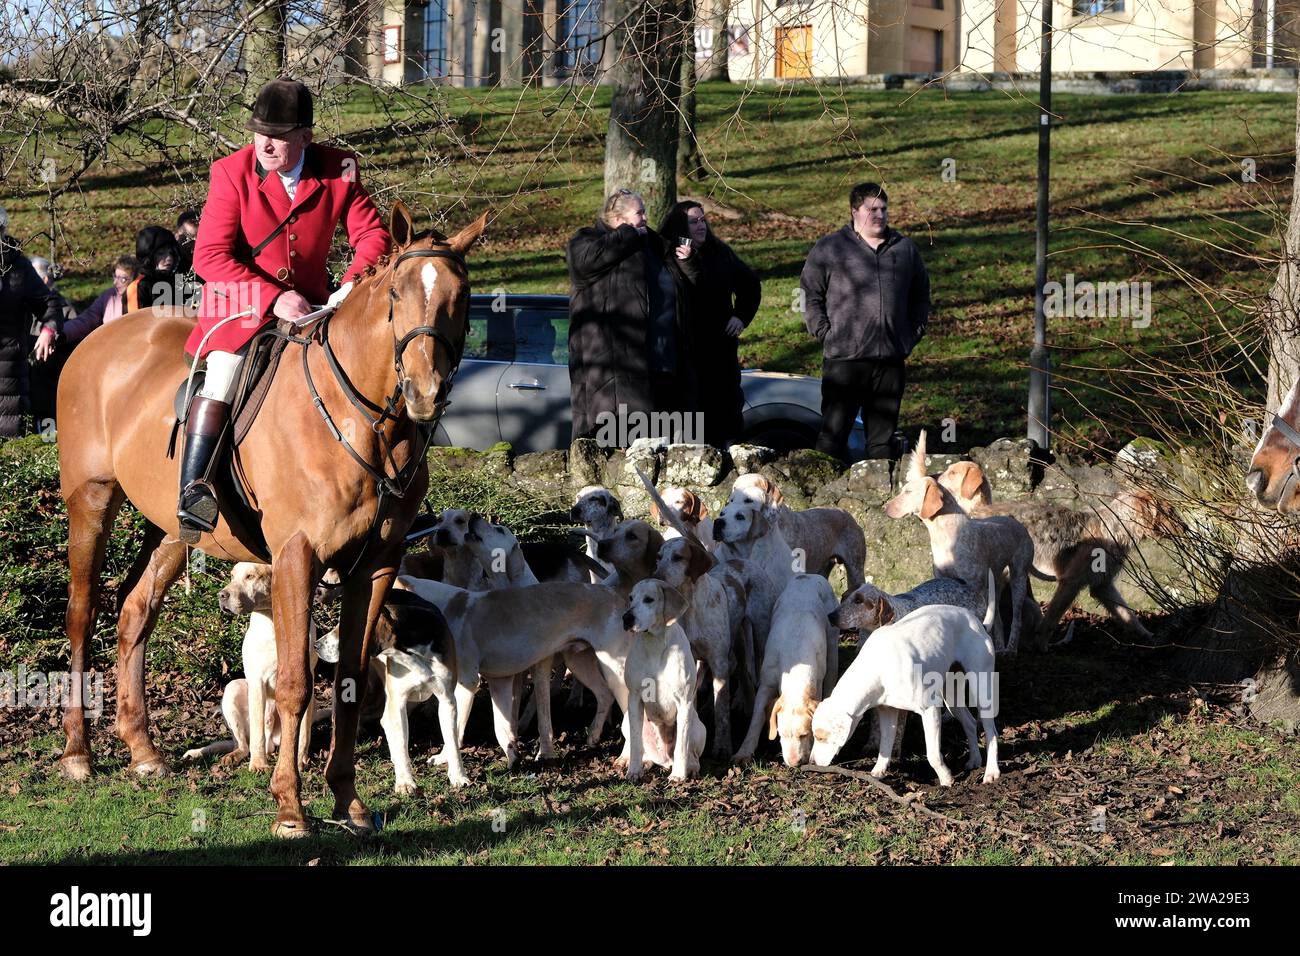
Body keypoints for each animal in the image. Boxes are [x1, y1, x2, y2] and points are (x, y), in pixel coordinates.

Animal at [55, 204, 488, 837]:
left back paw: (142, 750)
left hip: (172, 529)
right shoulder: (296, 557)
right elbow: (294, 685)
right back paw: (79, 753)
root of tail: (99, 340)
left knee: (134, 613)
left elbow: (350, 679)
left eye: (462, 295)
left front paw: (347, 801)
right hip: (91, 501)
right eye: (396, 294)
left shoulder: (375, 568)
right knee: (82, 615)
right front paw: (289, 806)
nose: (424, 393)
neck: (366, 425)